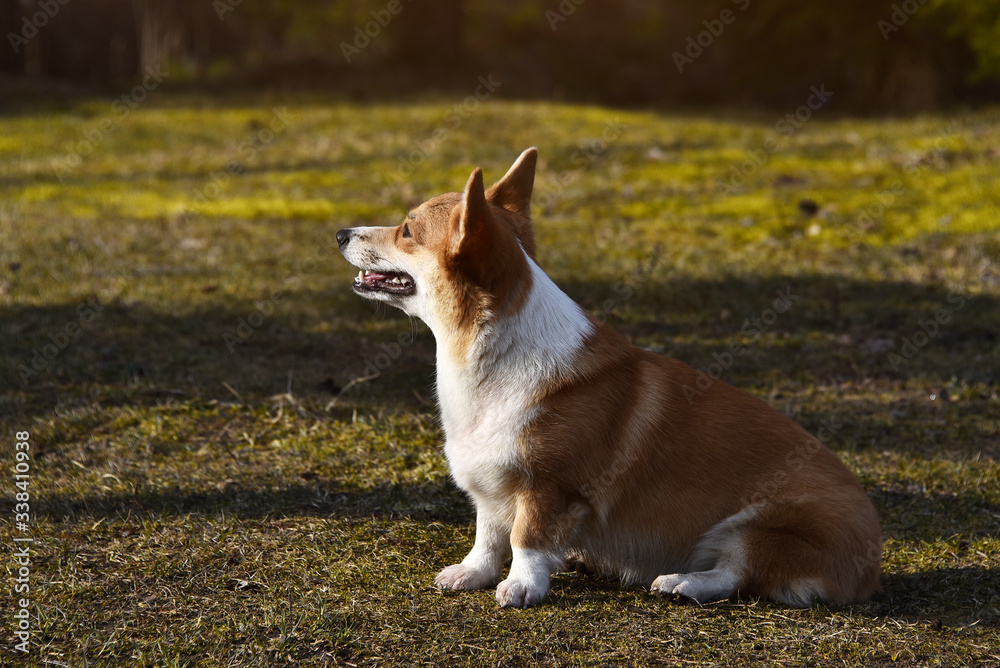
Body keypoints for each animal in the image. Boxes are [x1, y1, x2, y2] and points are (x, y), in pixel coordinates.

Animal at [338, 149, 884, 608]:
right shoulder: (493, 485)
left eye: (407, 230)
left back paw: (683, 582)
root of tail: (870, 568)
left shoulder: (548, 486)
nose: (340, 233)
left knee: (737, 573)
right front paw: (472, 573)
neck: (483, 352)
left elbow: (526, 537)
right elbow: (488, 535)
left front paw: (521, 586)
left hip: (760, 526)